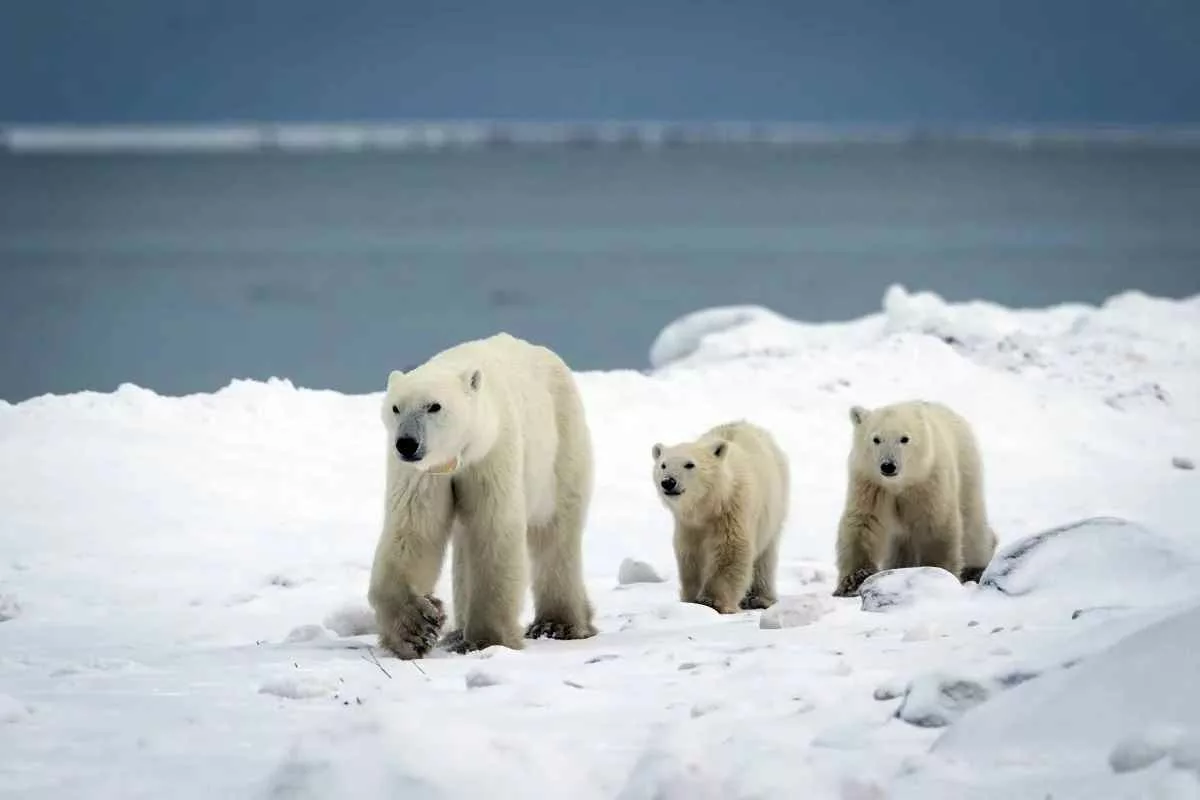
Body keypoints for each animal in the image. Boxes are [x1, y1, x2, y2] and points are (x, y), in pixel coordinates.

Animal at [367, 332, 597, 659]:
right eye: (396, 408)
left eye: (434, 406)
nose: (407, 443)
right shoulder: (425, 474)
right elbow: (413, 530)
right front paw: (416, 629)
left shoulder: (493, 453)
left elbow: (493, 531)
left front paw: (488, 640)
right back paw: (456, 632)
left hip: (561, 446)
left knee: (555, 533)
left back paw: (559, 624)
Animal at [651, 420, 790, 614]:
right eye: (663, 465)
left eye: (689, 464)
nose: (668, 482)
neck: (708, 505)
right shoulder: (688, 524)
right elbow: (690, 555)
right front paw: (690, 599)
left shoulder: (732, 511)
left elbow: (730, 550)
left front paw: (711, 601)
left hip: (774, 506)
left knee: (765, 555)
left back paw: (760, 598)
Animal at [831, 399, 998, 597]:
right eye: (876, 439)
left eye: (904, 438)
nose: (888, 466)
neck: (900, 484)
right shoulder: (870, 484)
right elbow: (863, 522)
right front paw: (853, 581)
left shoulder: (928, 482)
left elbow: (936, 525)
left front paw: (938, 572)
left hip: (966, 468)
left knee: (972, 522)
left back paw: (976, 568)